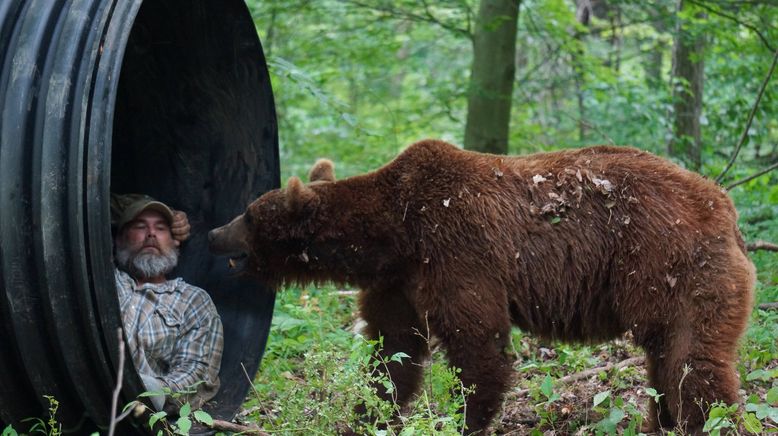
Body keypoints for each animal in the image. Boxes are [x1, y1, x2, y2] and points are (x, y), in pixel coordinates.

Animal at [206, 141, 752, 434]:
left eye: (249, 214)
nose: (213, 233)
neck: (393, 233)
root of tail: (726, 207)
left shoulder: (457, 251)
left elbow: (477, 346)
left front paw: (463, 419)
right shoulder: (397, 282)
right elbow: (392, 354)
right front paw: (367, 414)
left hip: (672, 263)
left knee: (693, 360)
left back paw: (709, 418)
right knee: (665, 362)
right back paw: (660, 421)